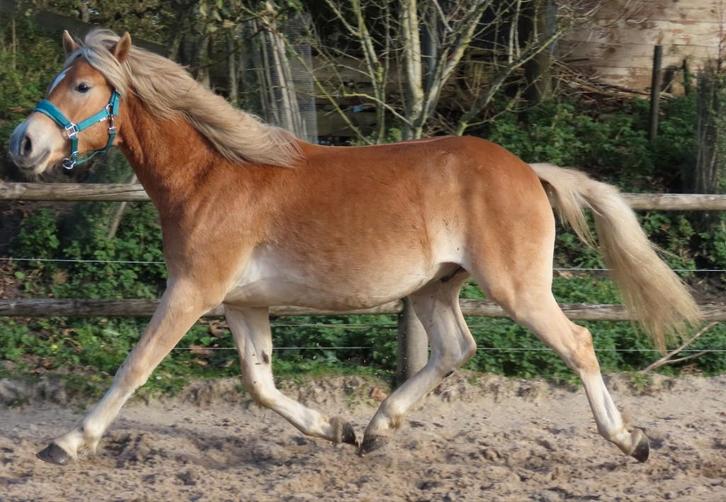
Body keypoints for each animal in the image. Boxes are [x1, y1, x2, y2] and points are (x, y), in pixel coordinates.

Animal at [8, 29, 699, 466]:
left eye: (83, 87)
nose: (24, 143)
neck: (212, 175)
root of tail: (528, 170)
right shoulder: (241, 303)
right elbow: (259, 383)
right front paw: (334, 428)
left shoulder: (192, 290)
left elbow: (136, 366)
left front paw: (67, 443)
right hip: (435, 288)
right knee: (456, 348)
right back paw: (375, 429)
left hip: (518, 288)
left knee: (577, 343)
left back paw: (630, 440)